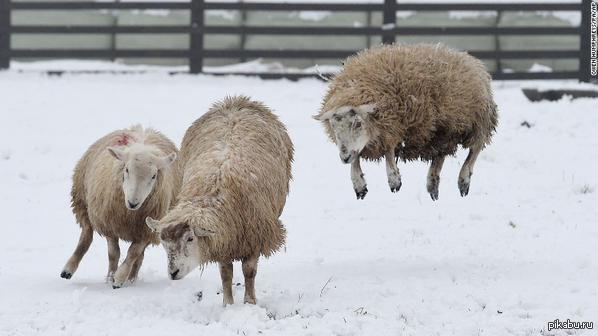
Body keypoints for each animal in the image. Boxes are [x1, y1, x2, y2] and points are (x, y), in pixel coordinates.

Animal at [62, 124, 183, 288]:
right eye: (126, 169)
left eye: (154, 176)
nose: (133, 202)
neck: (129, 214)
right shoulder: (109, 224)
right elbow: (114, 254)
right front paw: (110, 278)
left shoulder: (146, 231)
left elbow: (133, 254)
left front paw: (119, 278)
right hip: (82, 202)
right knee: (86, 237)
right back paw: (68, 269)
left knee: (139, 257)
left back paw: (131, 280)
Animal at [145, 96, 296, 306]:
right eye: (163, 242)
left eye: (190, 238)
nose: (173, 273)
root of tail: (234, 101)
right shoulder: (224, 239)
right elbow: (226, 274)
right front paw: (228, 304)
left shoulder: (254, 236)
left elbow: (249, 272)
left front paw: (249, 302)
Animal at [316, 42, 500, 200]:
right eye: (333, 126)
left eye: (359, 123)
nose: (344, 157)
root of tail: (472, 60)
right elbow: (356, 161)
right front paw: (359, 185)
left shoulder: (393, 127)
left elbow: (389, 151)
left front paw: (394, 180)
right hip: (443, 131)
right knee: (439, 156)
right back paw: (433, 186)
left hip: (479, 123)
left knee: (474, 151)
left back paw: (463, 181)